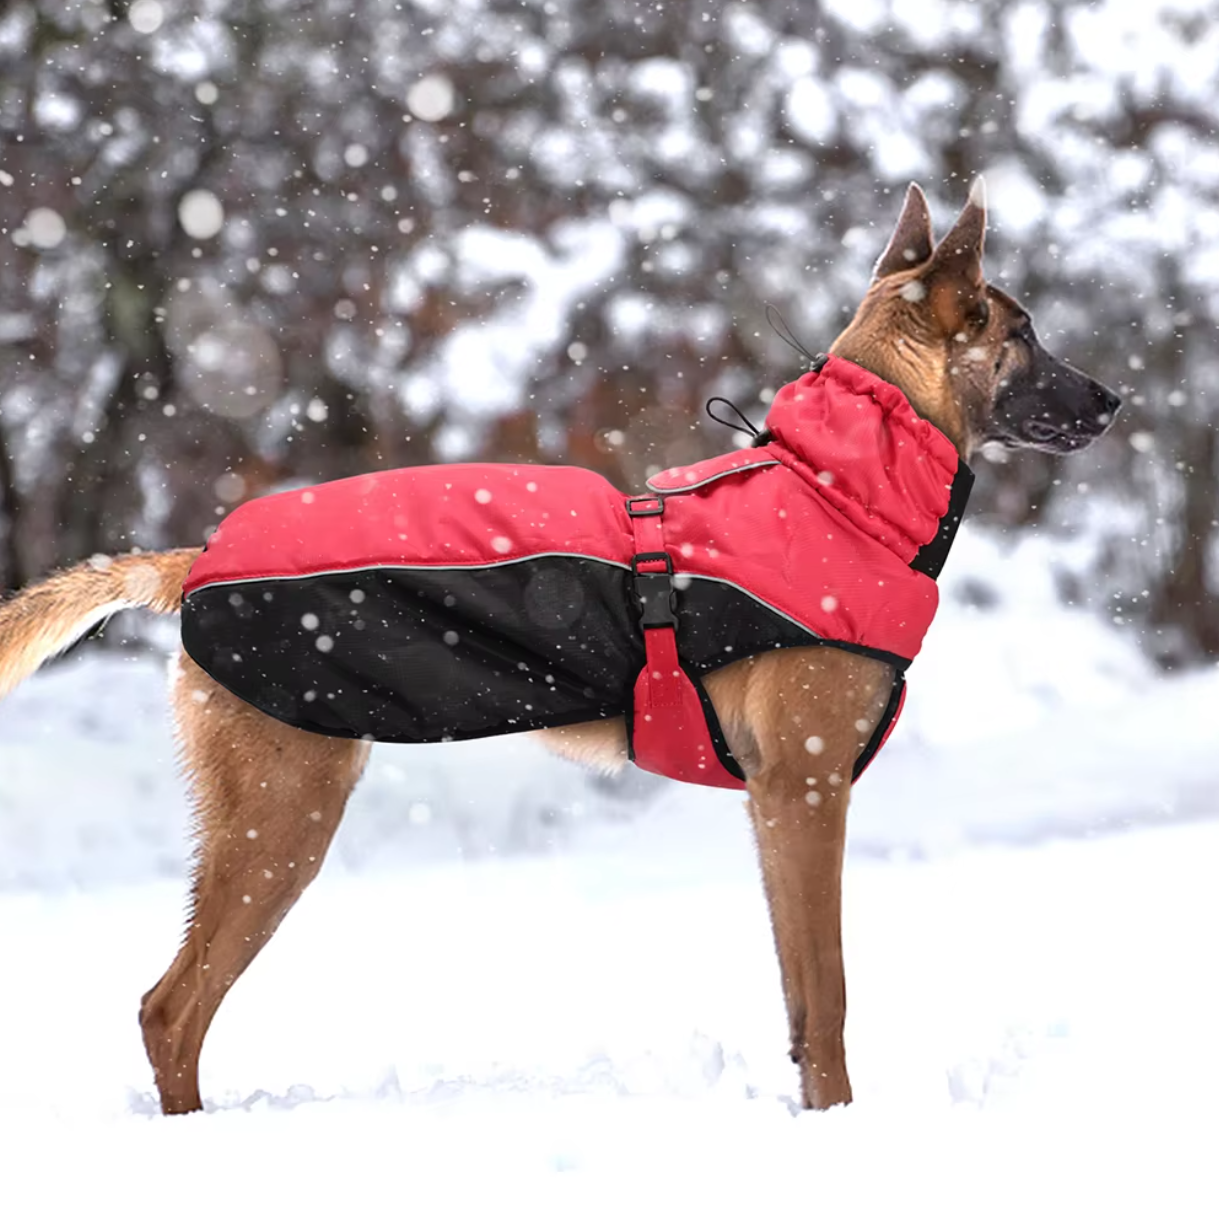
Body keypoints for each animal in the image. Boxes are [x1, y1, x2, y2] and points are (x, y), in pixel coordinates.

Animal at [0, 174, 1121, 1112]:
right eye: (1020, 334)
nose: (1115, 401)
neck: (836, 486)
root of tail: (197, 559)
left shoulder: (775, 805)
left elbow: (802, 1005)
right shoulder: (806, 792)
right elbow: (832, 996)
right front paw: (841, 1127)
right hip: (283, 814)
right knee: (170, 1008)